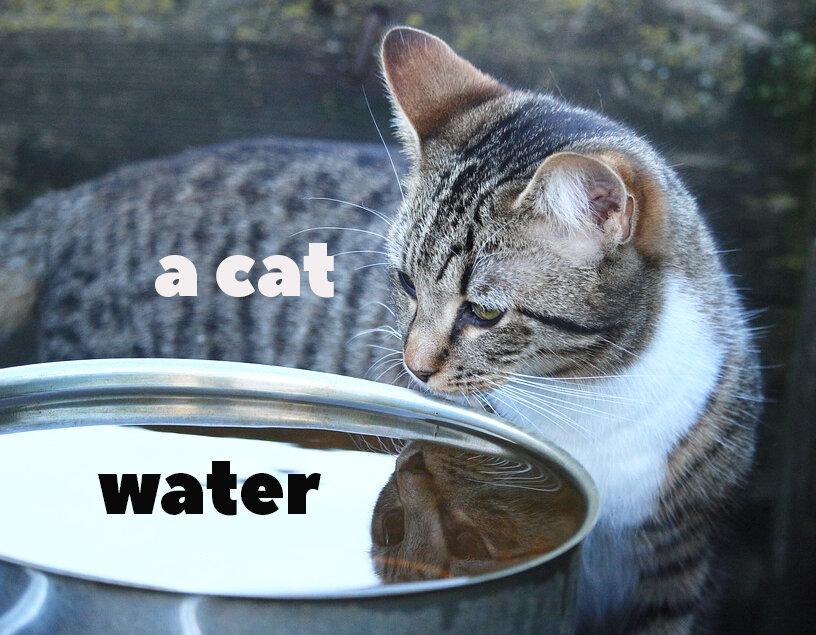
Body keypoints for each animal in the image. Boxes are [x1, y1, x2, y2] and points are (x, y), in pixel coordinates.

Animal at [0, 26, 762, 634]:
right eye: (404, 284)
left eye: (485, 313)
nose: (415, 366)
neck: (590, 394)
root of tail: (82, 198)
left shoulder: (677, 564)